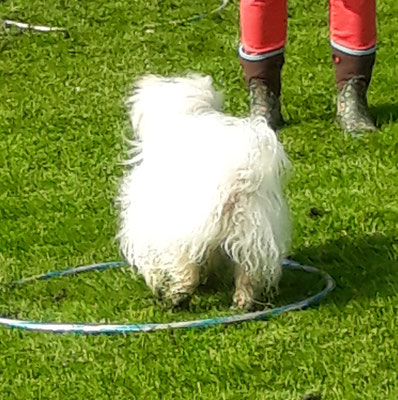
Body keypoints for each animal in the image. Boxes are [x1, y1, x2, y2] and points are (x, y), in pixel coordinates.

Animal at [116, 74, 290, 310]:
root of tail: (238, 176)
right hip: (252, 229)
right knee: (247, 272)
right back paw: (241, 301)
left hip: (187, 230)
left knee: (186, 271)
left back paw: (177, 297)